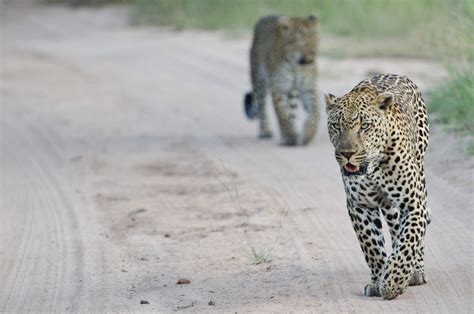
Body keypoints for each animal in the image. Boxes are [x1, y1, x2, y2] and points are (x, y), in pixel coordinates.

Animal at [244, 15, 318, 146]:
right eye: (302, 41)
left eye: (316, 40)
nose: (312, 56)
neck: (295, 65)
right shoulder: (279, 88)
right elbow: (282, 115)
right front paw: (290, 136)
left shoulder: (308, 88)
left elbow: (314, 112)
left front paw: (308, 134)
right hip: (259, 81)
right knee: (262, 107)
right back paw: (265, 131)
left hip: (292, 92)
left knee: (291, 110)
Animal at [326, 73, 430, 300]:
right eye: (336, 126)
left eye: (364, 126)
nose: (347, 153)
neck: (373, 168)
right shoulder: (359, 206)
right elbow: (371, 246)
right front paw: (378, 280)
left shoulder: (413, 204)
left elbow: (408, 242)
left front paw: (393, 282)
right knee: (394, 228)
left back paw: (416, 271)